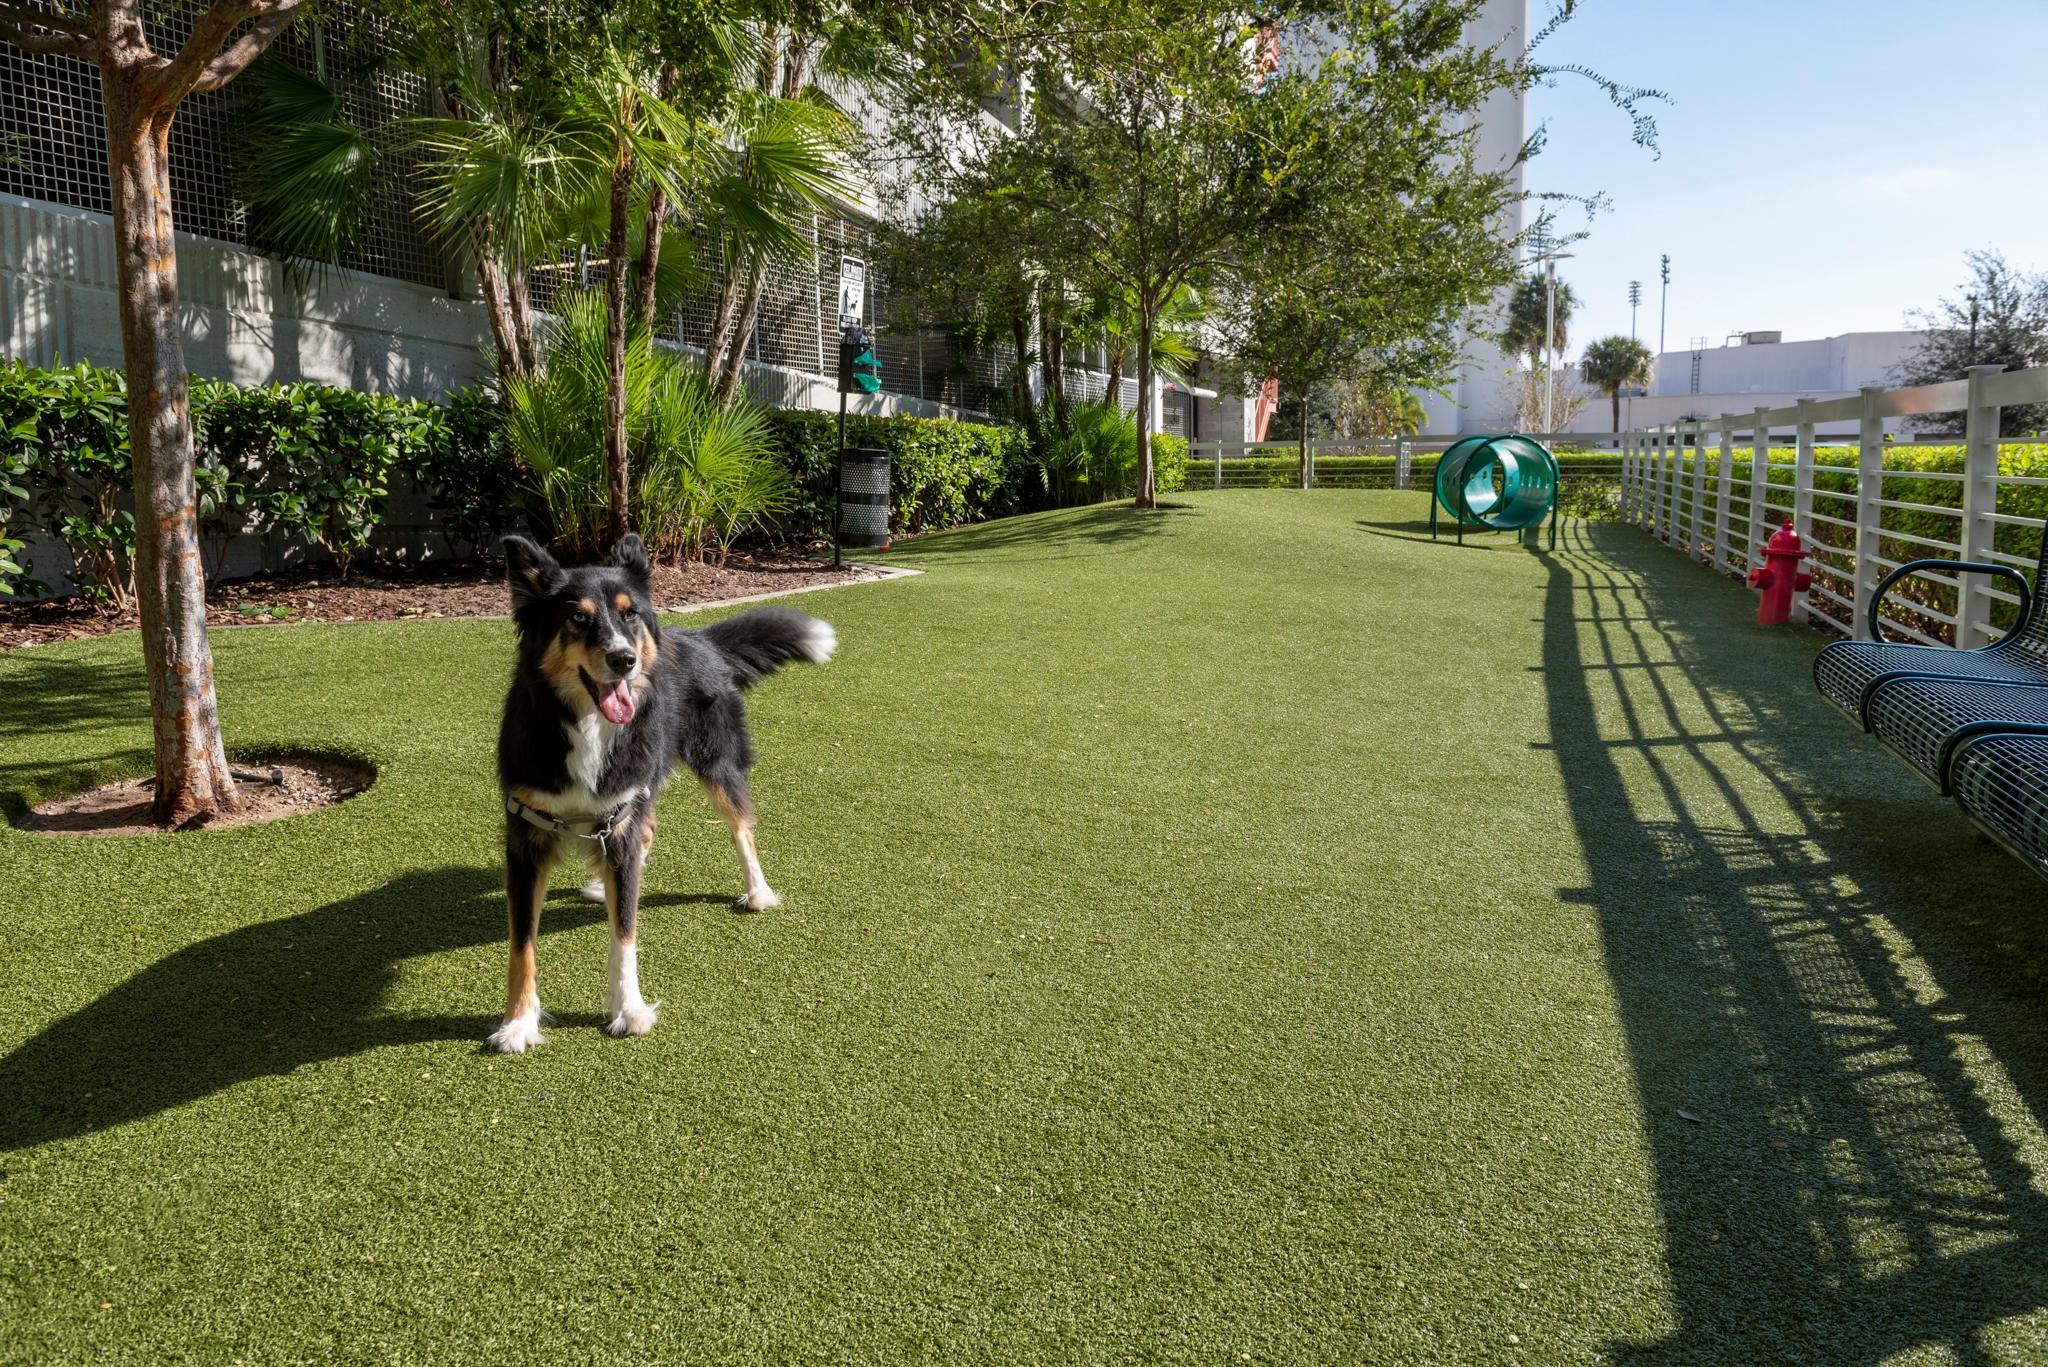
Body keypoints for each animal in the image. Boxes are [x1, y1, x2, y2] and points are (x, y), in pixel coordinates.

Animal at [491, 532, 835, 1057]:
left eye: (630, 614)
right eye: (577, 618)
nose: (623, 660)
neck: (587, 726)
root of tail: (699, 639)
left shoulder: (620, 818)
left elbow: (625, 932)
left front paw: (628, 1009)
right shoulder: (527, 835)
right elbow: (521, 946)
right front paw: (518, 1023)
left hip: (714, 765)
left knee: (741, 826)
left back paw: (758, 890)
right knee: (648, 830)